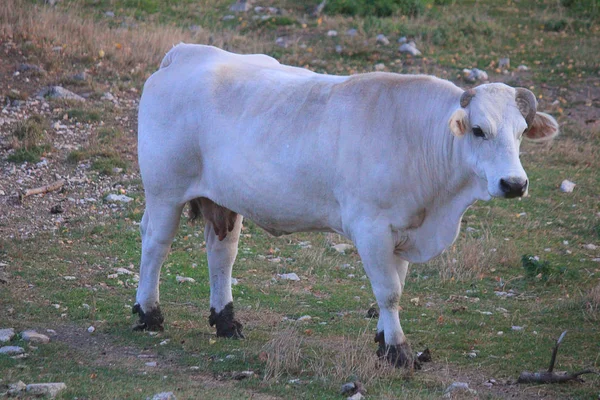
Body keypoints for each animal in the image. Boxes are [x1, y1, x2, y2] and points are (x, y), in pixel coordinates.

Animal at [132, 43, 556, 368]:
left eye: (521, 132)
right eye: (479, 130)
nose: (514, 184)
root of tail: (185, 53)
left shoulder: (402, 230)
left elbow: (396, 285)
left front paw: (384, 341)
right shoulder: (371, 228)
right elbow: (389, 291)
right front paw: (399, 351)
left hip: (223, 200)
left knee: (222, 254)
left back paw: (225, 321)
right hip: (165, 191)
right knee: (155, 246)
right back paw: (148, 314)